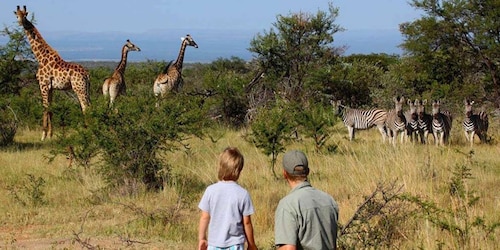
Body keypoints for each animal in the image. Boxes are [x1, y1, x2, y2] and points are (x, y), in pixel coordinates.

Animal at [14, 5, 91, 141]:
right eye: (17, 14)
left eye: (25, 15)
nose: (20, 22)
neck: (40, 57)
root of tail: (86, 74)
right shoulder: (50, 87)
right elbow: (50, 108)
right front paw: (50, 135)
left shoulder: (43, 84)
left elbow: (45, 107)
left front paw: (43, 136)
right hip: (85, 89)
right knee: (89, 106)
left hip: (79, 88)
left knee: (85, 107)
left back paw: (87, 132)